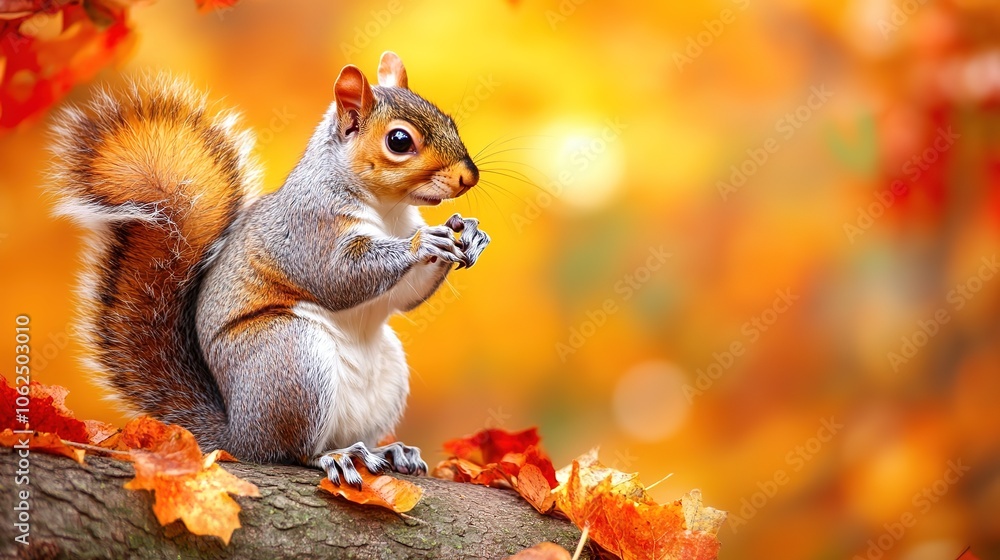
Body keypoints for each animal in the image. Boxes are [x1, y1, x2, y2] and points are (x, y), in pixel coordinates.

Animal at [47, 52, 490, 488]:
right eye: (399, 141)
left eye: (449, 119)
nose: (469, 176)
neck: (388, 208)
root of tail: (237, 435)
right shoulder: (308, 231)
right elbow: (340, 277)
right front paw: (423, 242)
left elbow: (405, 297)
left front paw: (468, 233)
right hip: (291, 359)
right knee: (293, 451)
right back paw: (334, 456)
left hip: (382, 375)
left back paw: (390, 450)